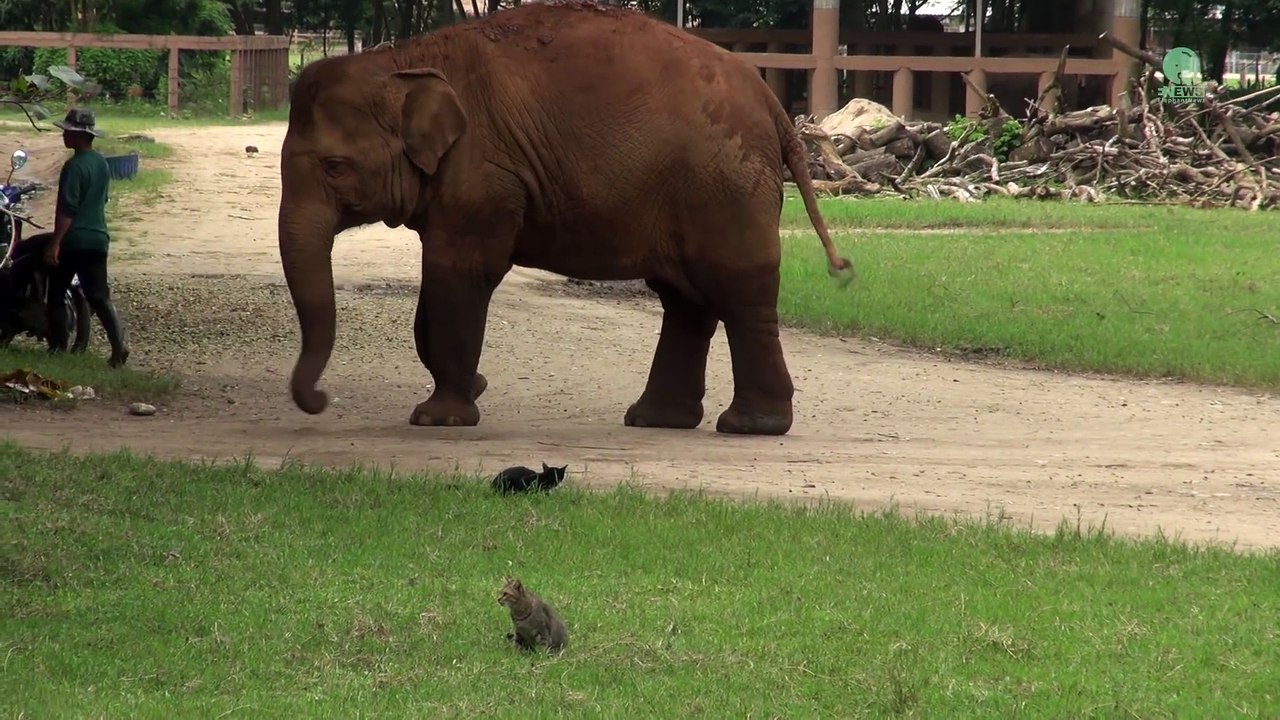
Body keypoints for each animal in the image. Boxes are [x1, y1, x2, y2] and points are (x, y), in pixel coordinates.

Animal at [278, 0, 853, 437]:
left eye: (334, 166)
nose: (321, 399)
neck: (402, 59)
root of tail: (774, 105)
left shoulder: (484, 173)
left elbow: (462, 275)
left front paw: (438, 419)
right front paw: (471, 388)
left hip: (727, 184)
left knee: (738, 290)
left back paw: (751, 426)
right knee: (684, 298)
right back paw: (655, 420)